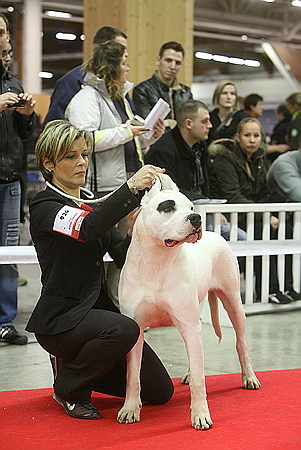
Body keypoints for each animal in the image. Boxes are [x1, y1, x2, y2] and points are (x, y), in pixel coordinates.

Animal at [116, 172, 258, 428]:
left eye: (191, 207)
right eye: (167, 207)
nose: (196, 218)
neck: (158, 260)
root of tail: (215, 233)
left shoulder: (190, 325)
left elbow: (201, 382)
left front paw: (200, 414)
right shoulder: (137, 329)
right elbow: (132, 376)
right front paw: (130, 409)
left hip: (233, 303)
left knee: (240, 343)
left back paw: (249, 377)